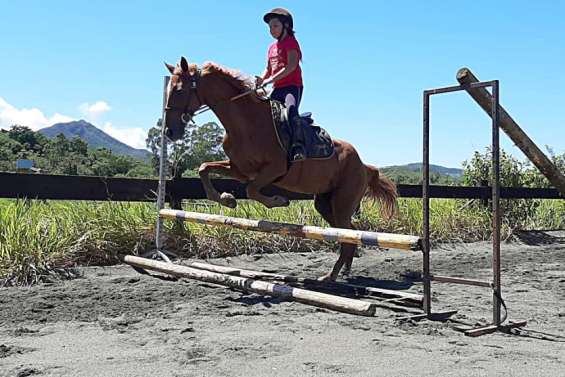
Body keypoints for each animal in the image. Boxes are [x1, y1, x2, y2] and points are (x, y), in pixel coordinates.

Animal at [163, 55, 396, 280]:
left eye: (179, 90)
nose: (169, 132)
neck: (246, 123)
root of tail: (364, 166)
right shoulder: (240, 170)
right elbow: (204, 168)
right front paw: (227, 199)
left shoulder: (273, 170)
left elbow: (252, 190)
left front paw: (278, 200)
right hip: (326, 204)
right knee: (349, 235)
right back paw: (342, 272)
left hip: (342, 203)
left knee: (348, 236)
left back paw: (331, 276)